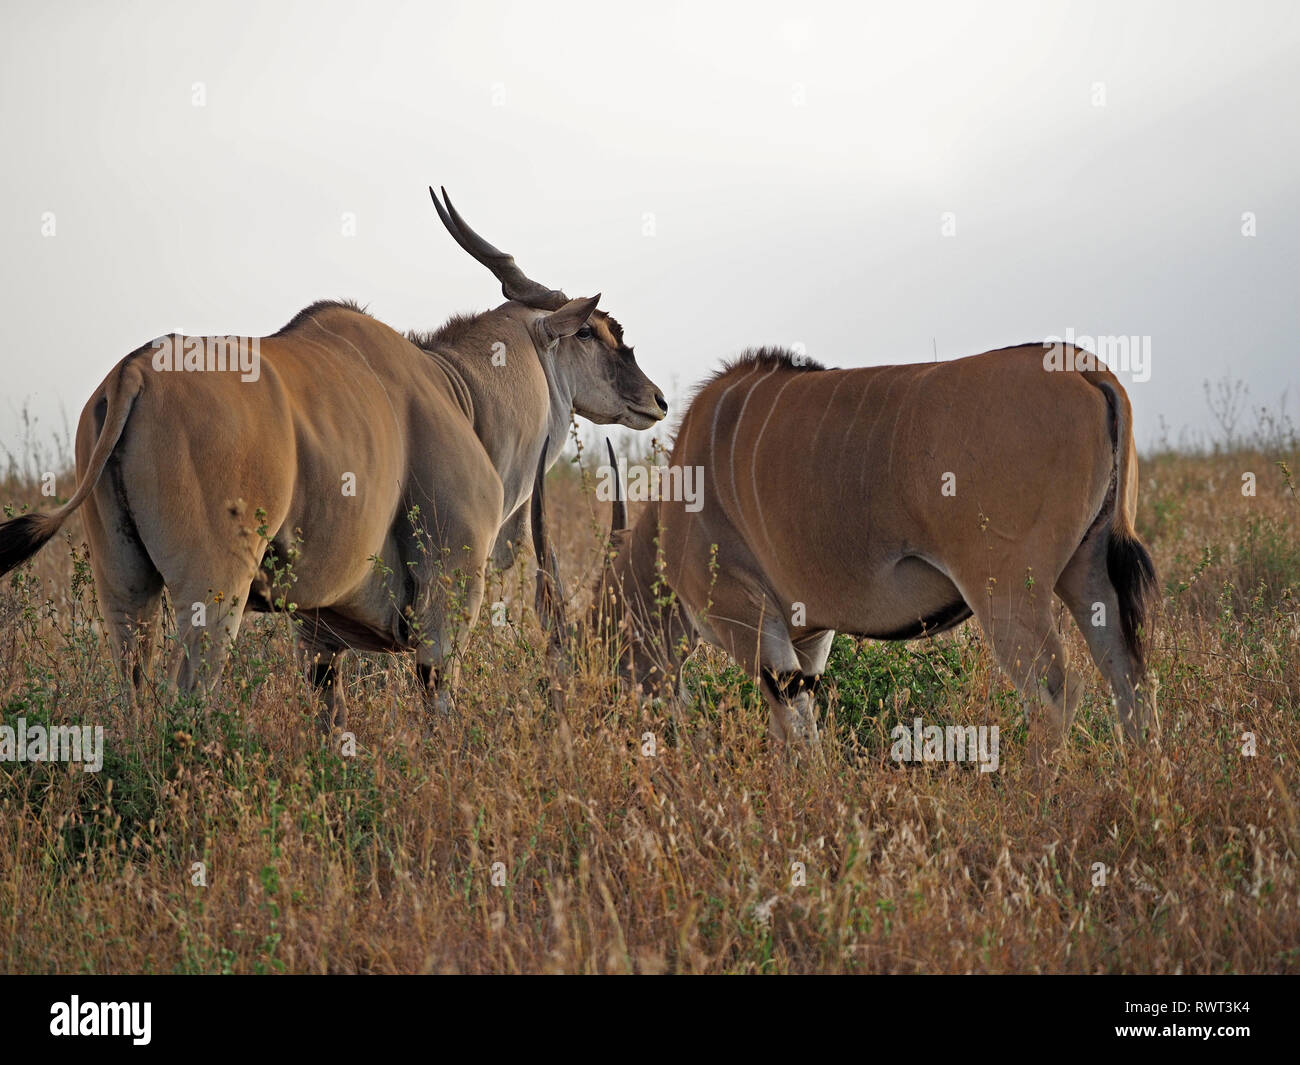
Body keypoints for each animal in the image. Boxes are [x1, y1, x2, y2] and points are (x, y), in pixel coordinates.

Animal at [0, 189, 665, 723]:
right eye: (593, 332)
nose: (655, 399)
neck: (461, 393)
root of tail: (132, 373)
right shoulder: (447, 602)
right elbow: (440, 710)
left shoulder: (317, 632)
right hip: (212, 592)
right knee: (184, 699)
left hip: (125, 589)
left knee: (134, 698)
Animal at [553, 345, 1164, 754]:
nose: (583, 727)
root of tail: (1083, 366)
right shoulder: (806, 637)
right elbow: (799, 723)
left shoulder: (745, 621)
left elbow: (795, 731)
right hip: (1088, 579)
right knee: (1130, 682)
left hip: (1010, 596)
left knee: (1057, 693)